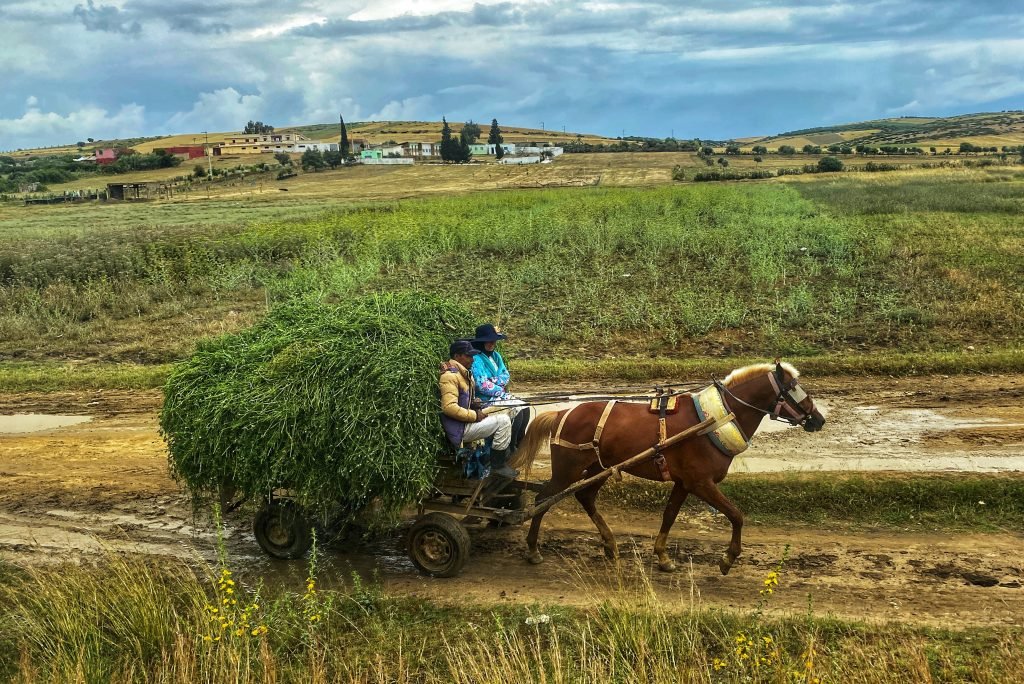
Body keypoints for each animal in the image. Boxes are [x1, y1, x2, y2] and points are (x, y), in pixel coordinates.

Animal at [512, 360, 823, 573]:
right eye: (794, 389)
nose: (818, 419)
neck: (713, 419)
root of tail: (562, 412)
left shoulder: (684, 482)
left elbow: (670, 515)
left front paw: (662, 556)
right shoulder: (701, 482)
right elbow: (736, 515)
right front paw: (728, 558)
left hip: (598, 468)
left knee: (585, 496)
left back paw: (610, 545)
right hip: (568, 469)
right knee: (542, 501)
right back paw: (533, 548)